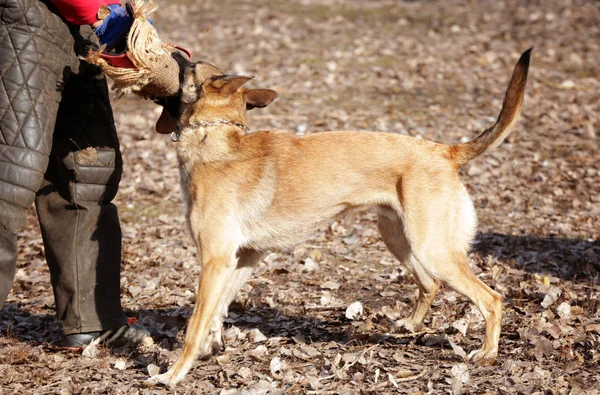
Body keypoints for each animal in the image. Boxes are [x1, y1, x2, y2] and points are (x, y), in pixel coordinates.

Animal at [149, 48, 528, 386]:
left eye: (191, 66)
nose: (176, 53)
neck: (215, 138)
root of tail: (445, 151)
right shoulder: (243, 258)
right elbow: (218, 311)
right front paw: (211, 346)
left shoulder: (216, 260)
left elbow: (195, 324)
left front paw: (174, 374)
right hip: (401, 240)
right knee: (429, 284)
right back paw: (410, 325)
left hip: (433, 249)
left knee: (491, 298)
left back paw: (487, 353)